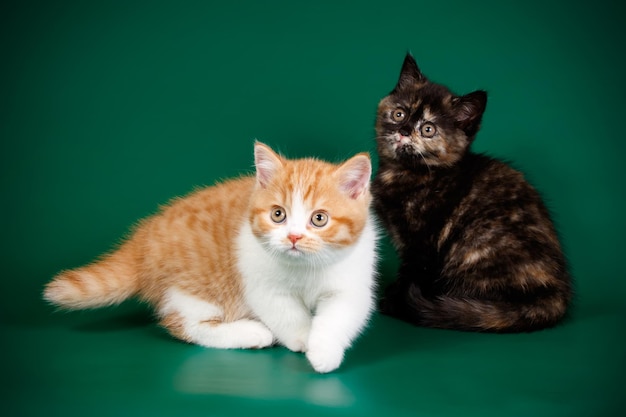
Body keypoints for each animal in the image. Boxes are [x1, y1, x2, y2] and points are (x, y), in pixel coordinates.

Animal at [45, 141, 376, 372]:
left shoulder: (352, 279)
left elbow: (340, 315)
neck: (305, 268)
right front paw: (302, 338)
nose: (293, 237)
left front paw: (322, 352)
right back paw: (252, 332)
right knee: (183, 324)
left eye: (319, 219)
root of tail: (144, 239)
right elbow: (287, 313)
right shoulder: (260, 283)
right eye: (278, 215)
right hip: (193, 286)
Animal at [370, 53, 572, 332]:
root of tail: (555, 296)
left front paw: (395, 300)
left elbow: (412, 273)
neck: (408, 173)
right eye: (399, 114)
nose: (404, 130)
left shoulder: (422, 243)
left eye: (428, 129)